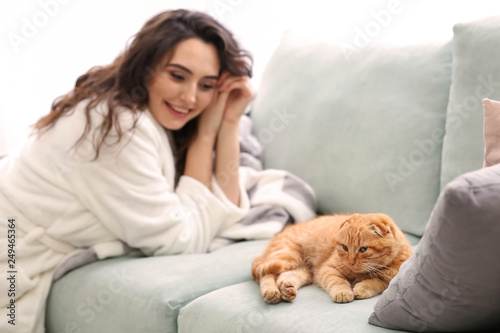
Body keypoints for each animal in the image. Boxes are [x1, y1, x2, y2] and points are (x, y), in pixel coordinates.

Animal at [252, 213, 412, 304]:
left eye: (363, 249)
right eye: (345, 247)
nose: (350, 262)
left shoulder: (391, 280)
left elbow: (377, 283)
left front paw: (361, 288)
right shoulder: (328, 268)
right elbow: (338, 281)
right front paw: (343, 292)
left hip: (304, 271)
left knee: (284, 276)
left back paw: (287, 289)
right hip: (287, 256)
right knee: (266, 273)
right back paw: (271, 292)